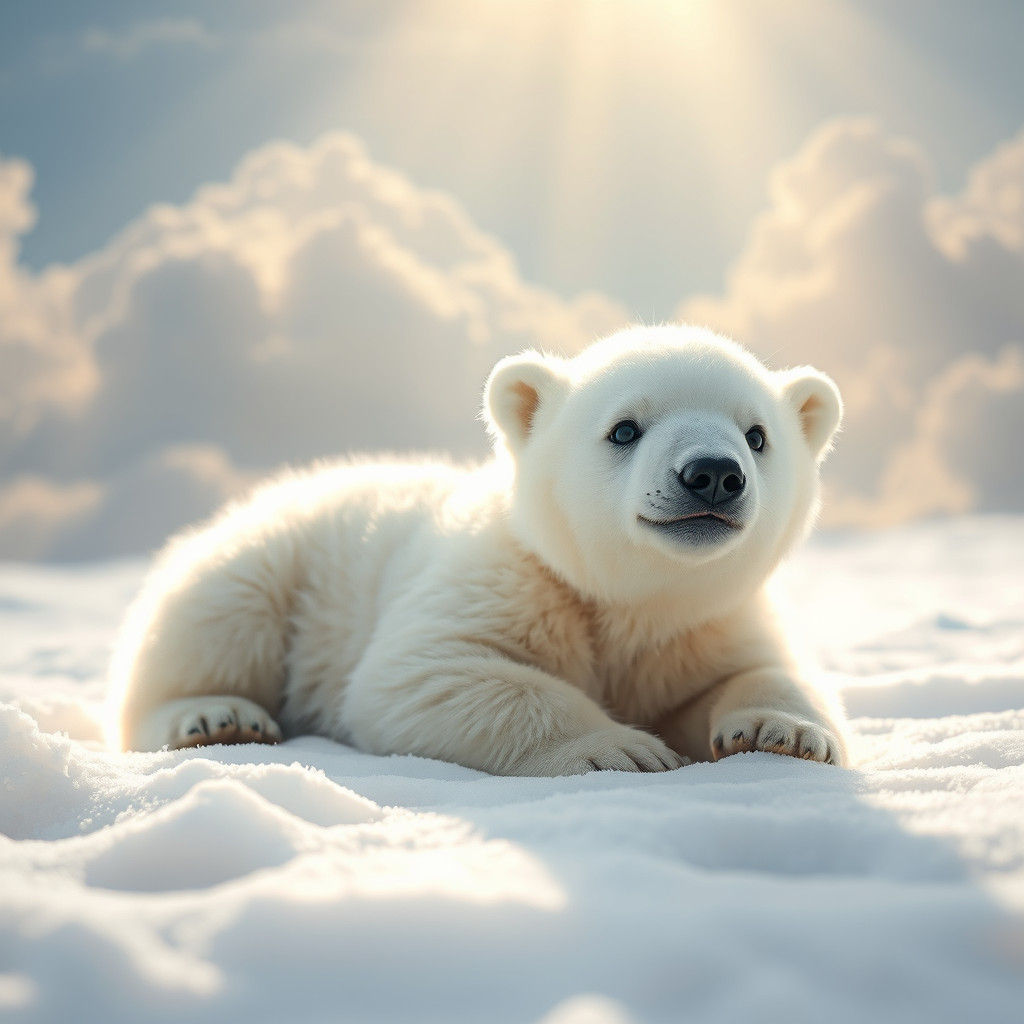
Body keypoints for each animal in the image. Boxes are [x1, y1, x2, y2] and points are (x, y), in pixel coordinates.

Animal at [109, 324, 848, 773]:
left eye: (757, 435)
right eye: (624, 428)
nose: (712, 473)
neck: (631, 600)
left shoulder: (705, 623)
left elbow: (759, 672)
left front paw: (782, 733)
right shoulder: (500, 581)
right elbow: (427, 674)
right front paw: (623, 749)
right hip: (272, 560)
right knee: (215, 621)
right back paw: (215, 715)